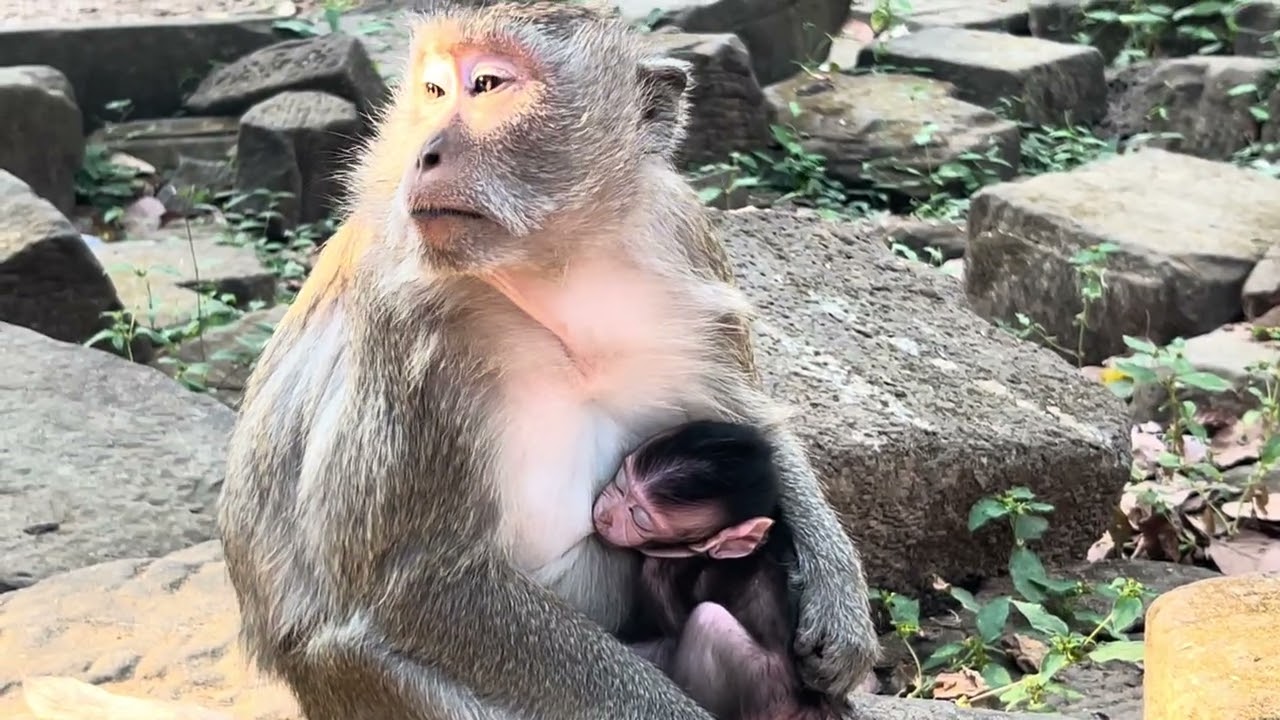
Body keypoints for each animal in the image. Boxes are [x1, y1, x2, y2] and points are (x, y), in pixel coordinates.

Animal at [593, 420, 843, 720]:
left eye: (639, 518)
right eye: (620, 484)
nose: (605, 516)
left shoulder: (672, 565)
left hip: (767, 695)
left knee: (708, 621)